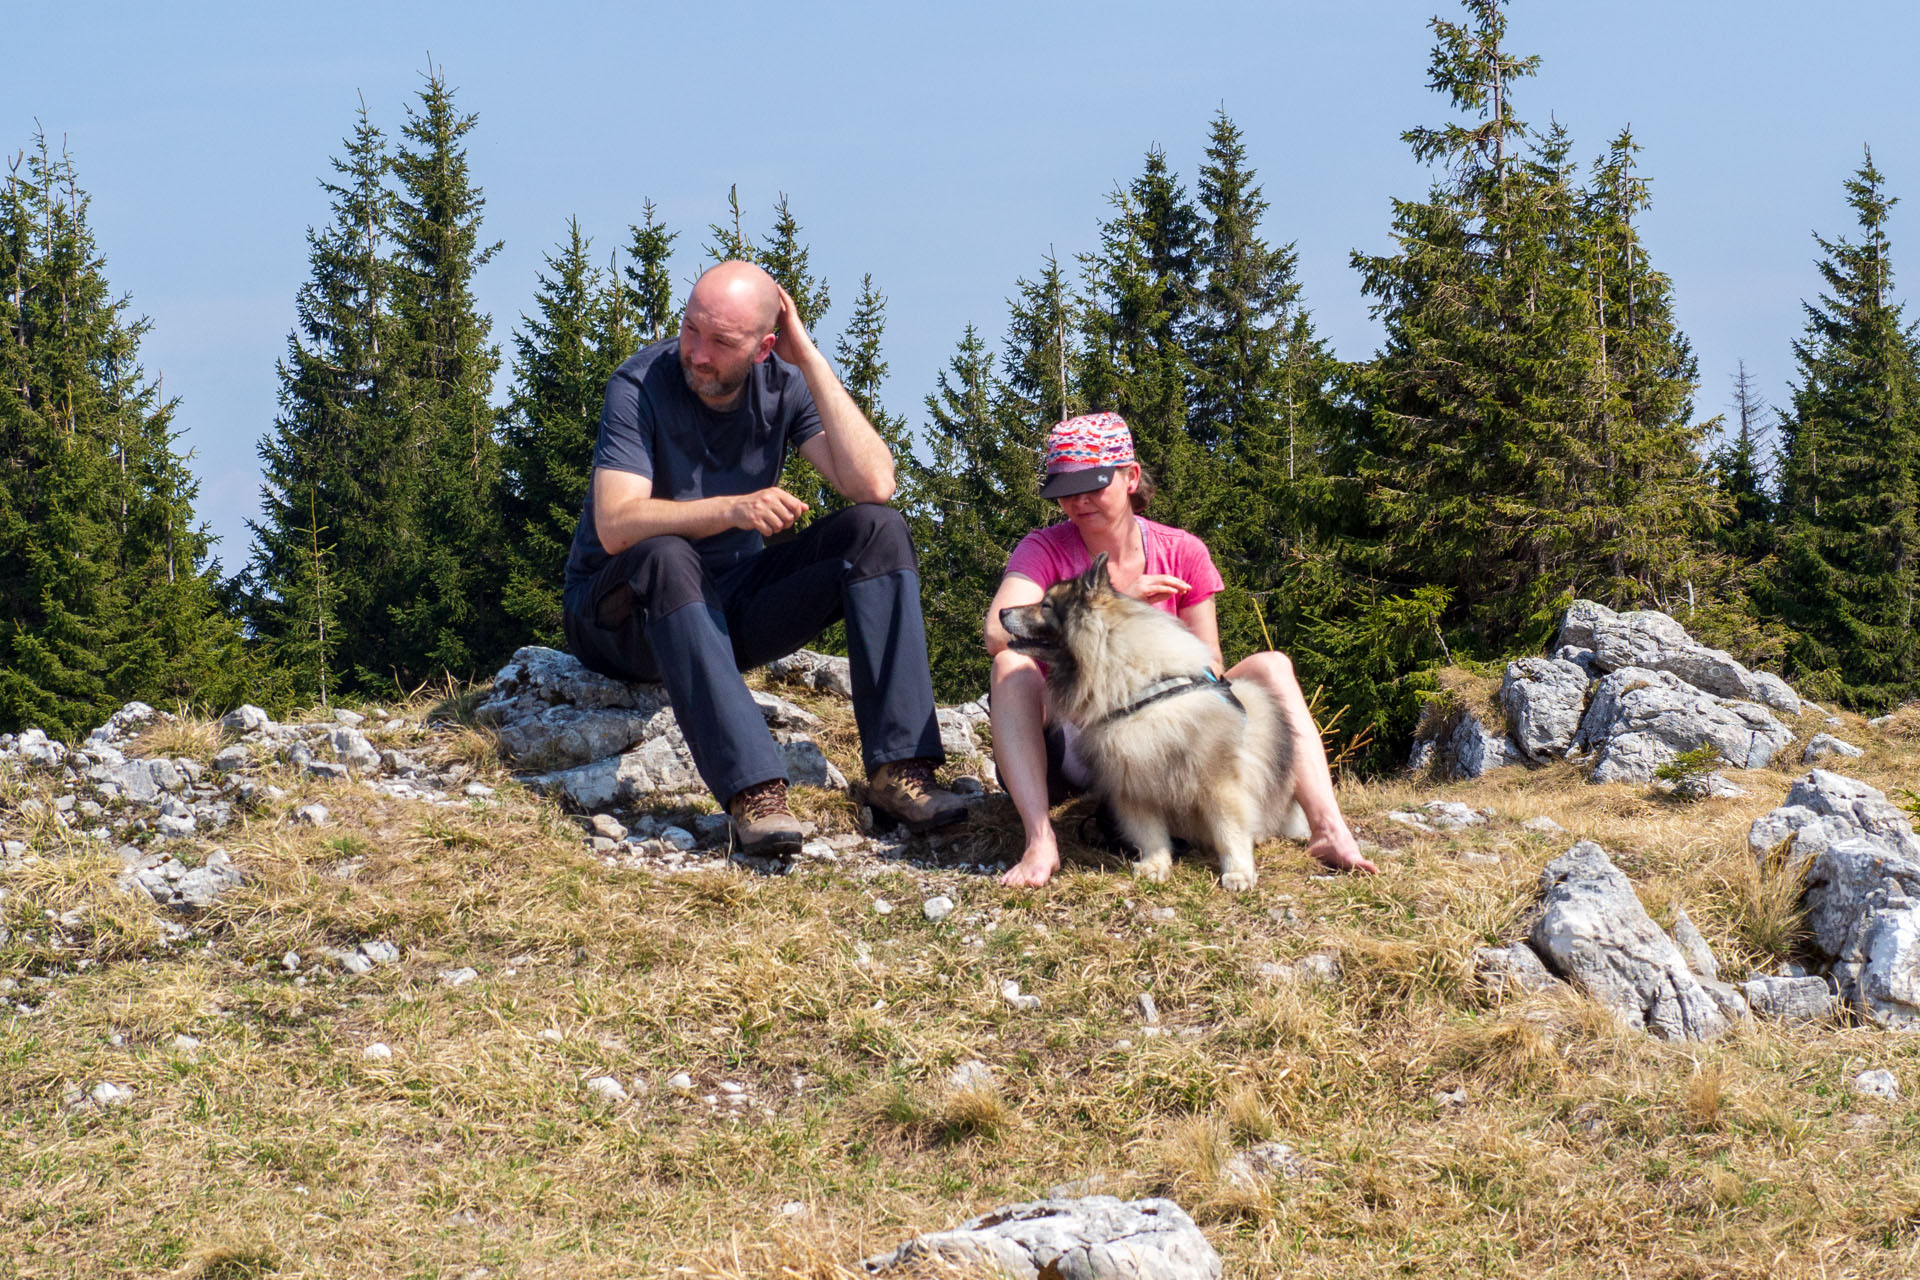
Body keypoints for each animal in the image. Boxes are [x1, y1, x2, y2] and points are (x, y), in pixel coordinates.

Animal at [998, 552, 1313, 890]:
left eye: (1045, 605)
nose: (1001, 611)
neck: (1140, 692)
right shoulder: (1132, 786)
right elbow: (1150, 834)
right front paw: (1155, 866)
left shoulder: (1220, 783)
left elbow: (1229, 832)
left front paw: (1238, 872)